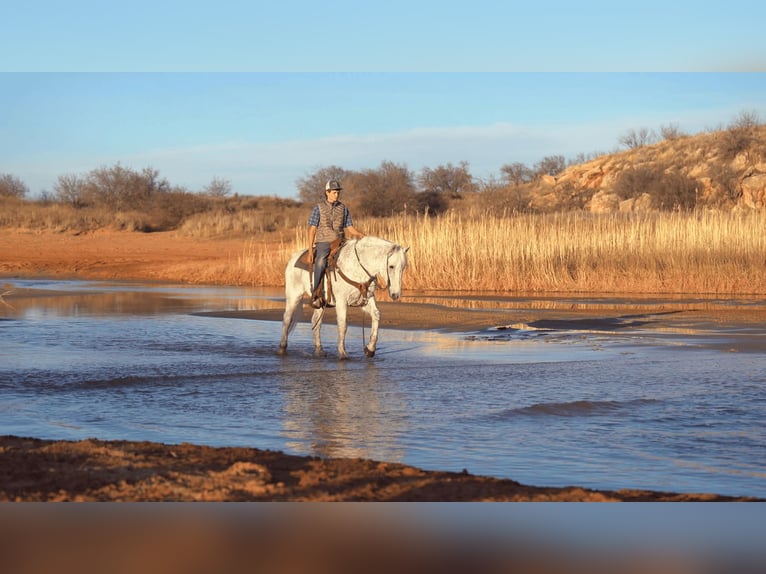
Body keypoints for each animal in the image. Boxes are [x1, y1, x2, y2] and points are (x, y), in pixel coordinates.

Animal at [277, 236, 409, 359]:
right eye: (391, 266)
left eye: (403, 267)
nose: (396, 294)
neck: (358, 266)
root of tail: (293, 257)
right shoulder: (341, 301)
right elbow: (343, 325)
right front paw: (342, 353)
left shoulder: (367, 298)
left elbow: (376, 315)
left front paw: (370, 349)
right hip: (294, 295)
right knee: (287, 318)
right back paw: (282, 348)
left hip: (320, 302)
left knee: (316, 321)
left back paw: (319, 350)